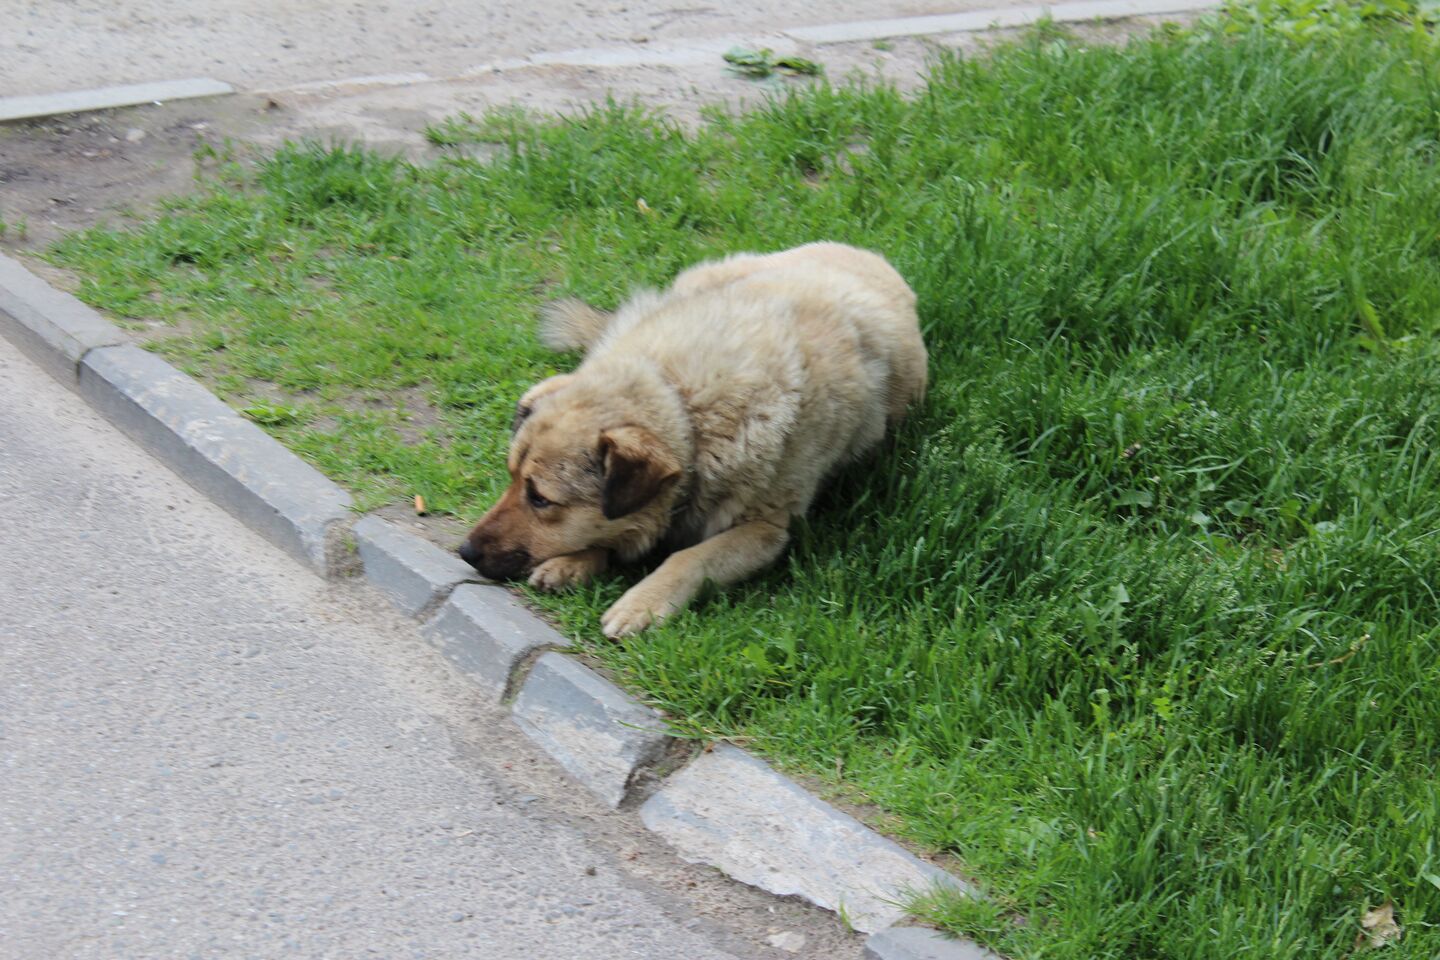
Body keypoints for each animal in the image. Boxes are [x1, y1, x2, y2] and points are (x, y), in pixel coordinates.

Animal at [460, 241, 933, 639]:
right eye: (511, 480)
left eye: (540, 499)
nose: (464, 552)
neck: (686, 406)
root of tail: (867, 255)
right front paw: (575, 561)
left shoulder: (765, 531)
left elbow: (688, 557)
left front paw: (643, 600)